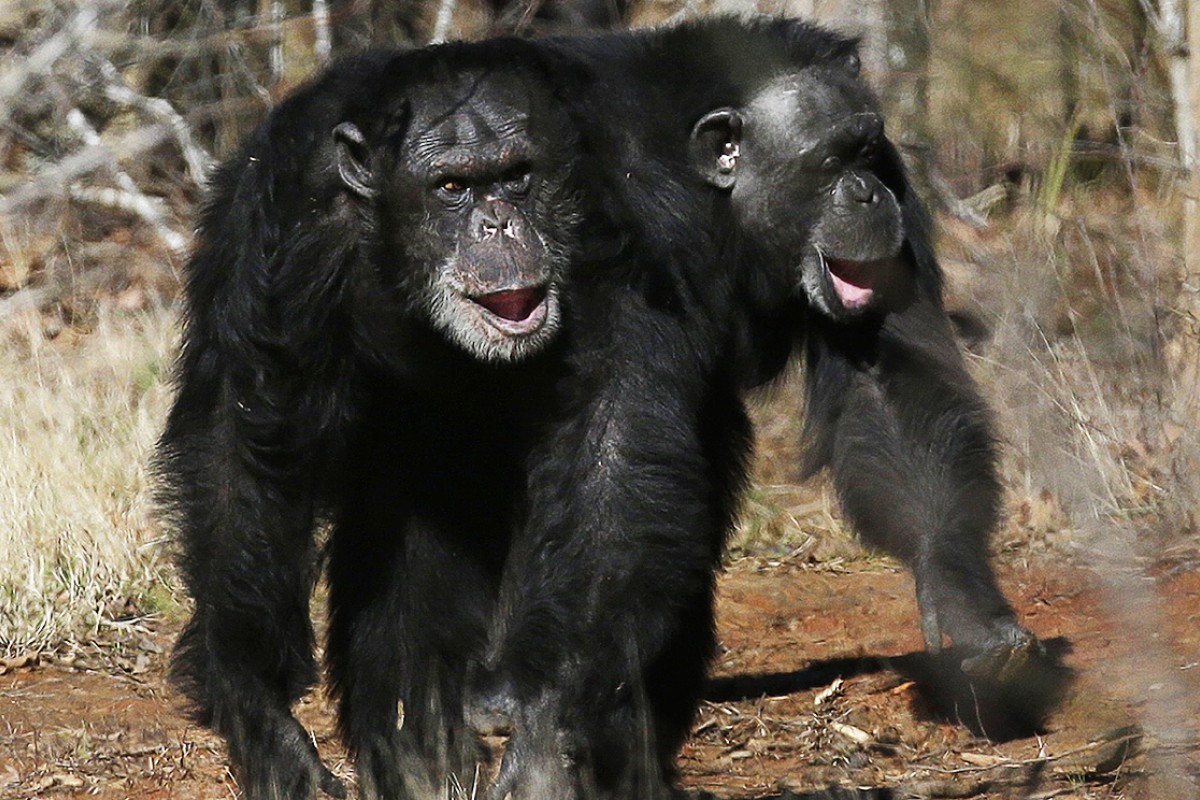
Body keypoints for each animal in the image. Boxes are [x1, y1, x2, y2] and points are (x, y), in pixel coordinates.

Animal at [154, 43, 585, 800]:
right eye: (451, 186)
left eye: (518, 176)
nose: (500, 224)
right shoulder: (286, 220)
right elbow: (251, 439)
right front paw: (260, 715)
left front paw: (544, 737)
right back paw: (419, 743)